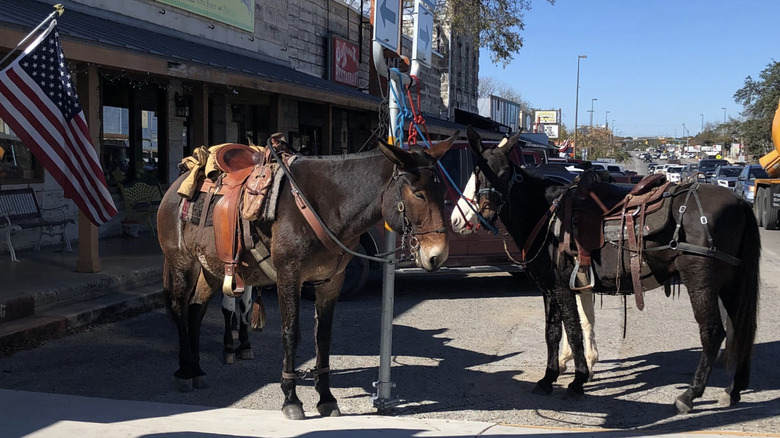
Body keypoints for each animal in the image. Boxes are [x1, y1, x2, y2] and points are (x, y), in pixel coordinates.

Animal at [155, 136, 454, 418]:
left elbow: (323, 337)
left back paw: (196, 368)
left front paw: (326, 398)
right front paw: (291, 399)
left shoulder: (331, 282)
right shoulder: (289, 277)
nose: (437, 255)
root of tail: (174, 188)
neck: (323, 205)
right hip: (183, 263)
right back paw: (185, 371)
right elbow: (290, 334)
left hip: (211, 268)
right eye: (418, 194)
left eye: (442, 191)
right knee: (180, 309)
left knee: (196, 310)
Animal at [454, 126, 760, 414]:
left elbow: (573, 331)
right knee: (743, 328)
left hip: (701, 282)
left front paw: (577, 381)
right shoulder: (550, 289)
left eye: (506, 172)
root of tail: (741, 203)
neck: (546, 216)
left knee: (713, 333)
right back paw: (733, 389)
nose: (486, 211)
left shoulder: (562, 288)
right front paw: (549, 378)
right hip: (731, 284)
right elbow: (553, 332)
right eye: (479, 171)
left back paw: (690, 395)